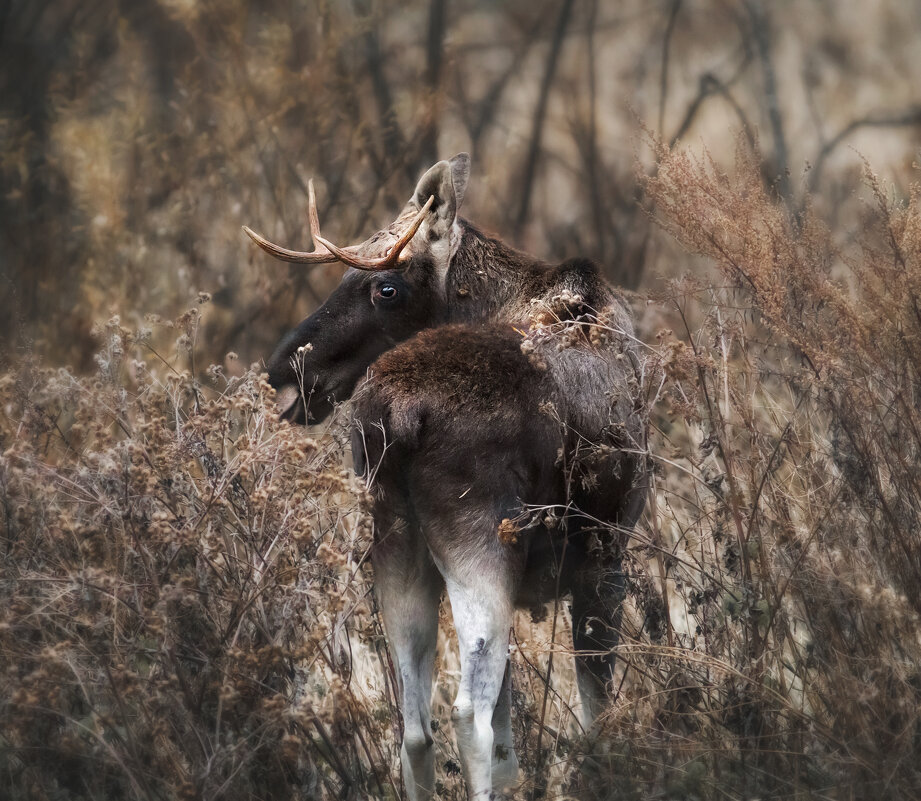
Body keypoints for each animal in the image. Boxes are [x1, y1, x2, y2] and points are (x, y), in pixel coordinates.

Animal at [243, 153, 648, 796]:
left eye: (386, 287)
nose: (285, 367)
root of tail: (397, 416)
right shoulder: (605, 560)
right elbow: (595, 723)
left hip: (397, 546)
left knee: (414, 727)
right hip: (481, 544)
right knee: (466, 716)